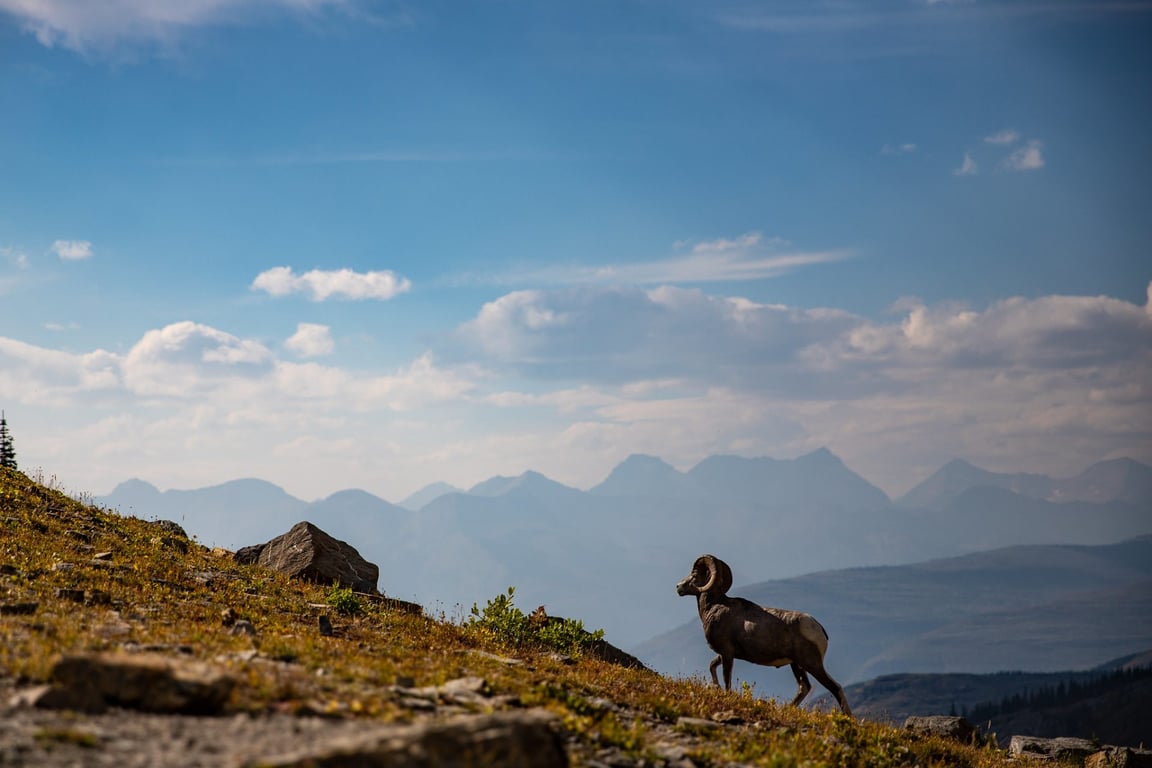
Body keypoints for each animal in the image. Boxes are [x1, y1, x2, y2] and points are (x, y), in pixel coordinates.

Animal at [672, 554, 857, 718]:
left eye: (694, 575)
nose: (678, 587)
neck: (714, 607)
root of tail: (818, 628)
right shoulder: (724, 654)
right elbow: (712, 666)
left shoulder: (727, 653)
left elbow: (726, 679)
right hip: (797, 665)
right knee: (804, 687)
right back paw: (786, 709)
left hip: (812, 664)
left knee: (834, 687)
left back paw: (848, 718)